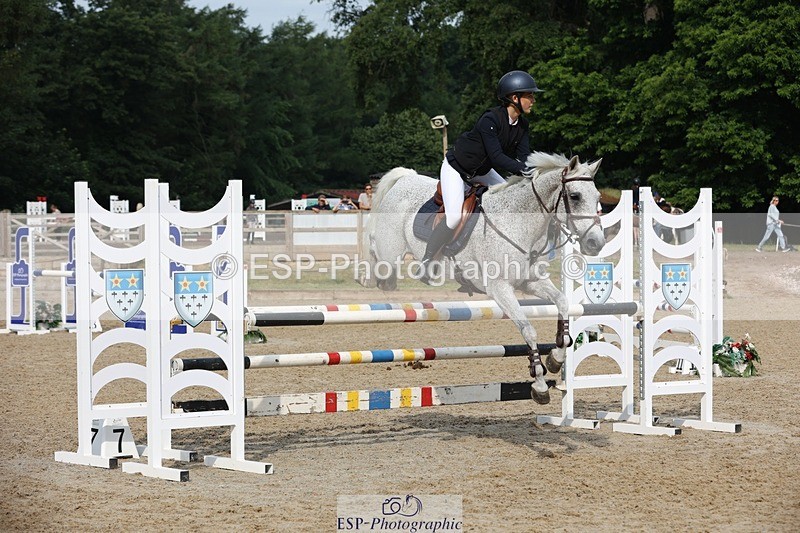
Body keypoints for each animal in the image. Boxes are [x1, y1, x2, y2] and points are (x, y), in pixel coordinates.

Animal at [359, 152, 605, 404]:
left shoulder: (531, 282)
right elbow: (528, 329)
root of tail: (405, 178)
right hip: (390, 253)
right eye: (575, 196)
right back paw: (369, 277)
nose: (596, 243)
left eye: (597, 197)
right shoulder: (500, 289)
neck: (519, 224)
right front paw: (539, 384)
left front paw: (555, 359)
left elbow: (563, 304)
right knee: (376, 254)